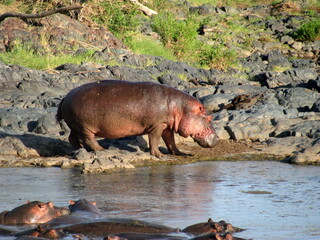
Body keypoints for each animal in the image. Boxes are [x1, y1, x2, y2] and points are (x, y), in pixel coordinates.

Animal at [56, 80, 219, 158]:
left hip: (75, 126)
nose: (217, 138)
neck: (181, 107)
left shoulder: (167, 126)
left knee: (72, 138)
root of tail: (65, 97)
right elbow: (154, 140)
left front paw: (181, 153)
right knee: (88, 139)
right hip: (85, 127)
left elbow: (170, 142)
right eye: (209, 118)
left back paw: (79, 149)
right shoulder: (157, 125)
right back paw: (101, 149)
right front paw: (160, 156)